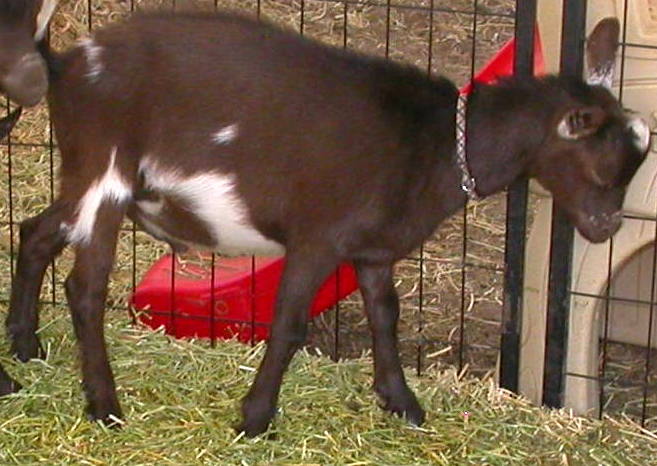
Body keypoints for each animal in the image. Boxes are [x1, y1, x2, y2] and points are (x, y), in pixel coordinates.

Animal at [0, 1, 650, 437]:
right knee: (85, 288)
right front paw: (254, 419)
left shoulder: (373, 250)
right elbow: (288, 325)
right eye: (603, 172)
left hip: (88, 178)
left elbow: (386, 318)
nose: (606, 229)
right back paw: (105, 407)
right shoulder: (318, 238)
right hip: (105, 171)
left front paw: (403, 404)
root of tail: (67, 63)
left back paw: (27, 346)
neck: (438, 142)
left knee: (35, 232)